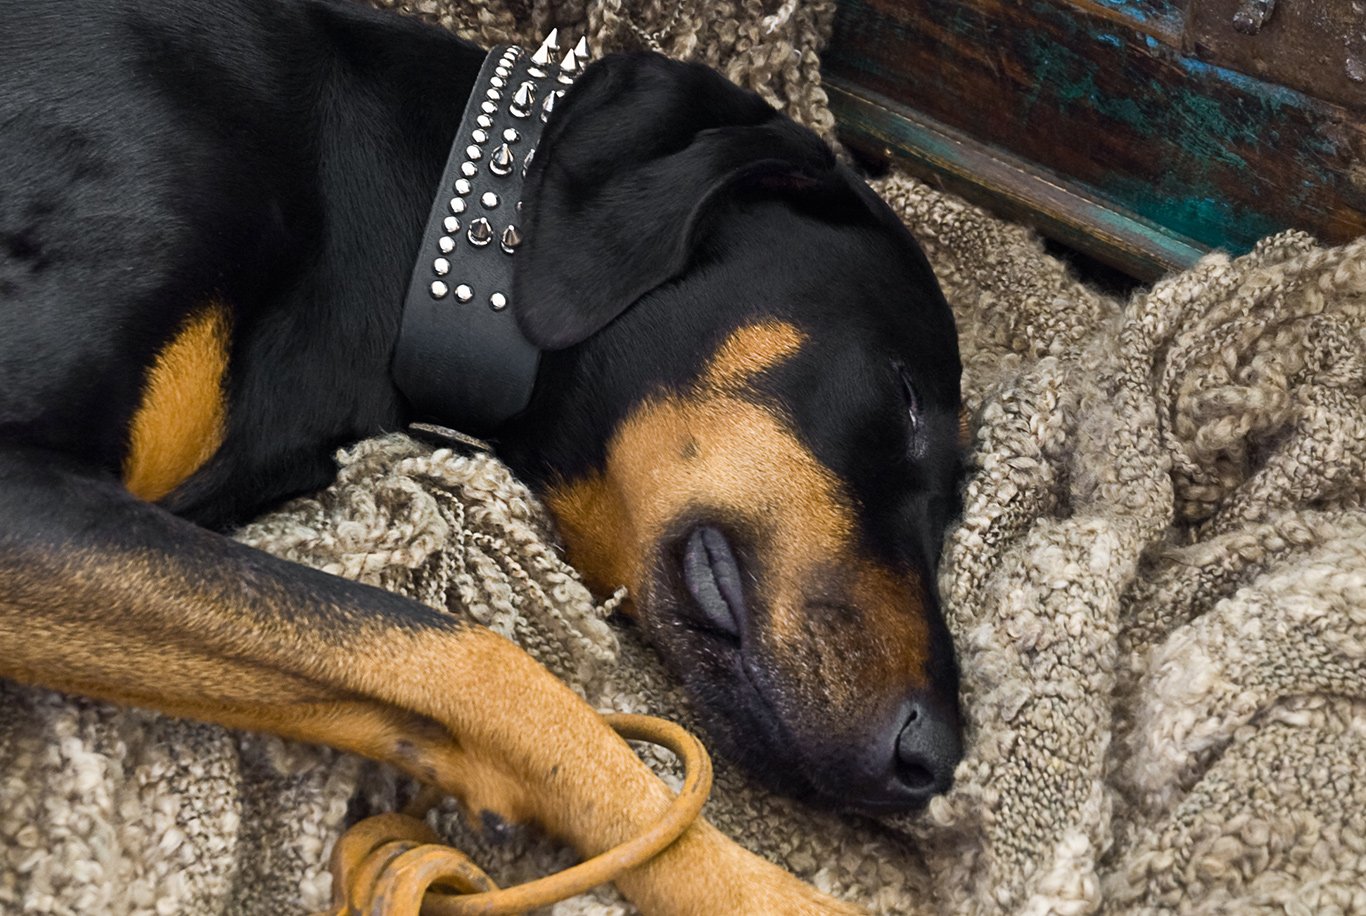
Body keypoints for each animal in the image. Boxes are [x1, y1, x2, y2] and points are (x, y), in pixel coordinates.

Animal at [0, 0, 963, 910]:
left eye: (958, 502)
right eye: (907, 399)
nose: (937, 757)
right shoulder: (20, 498)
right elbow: (483, 662)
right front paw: (761, 892)